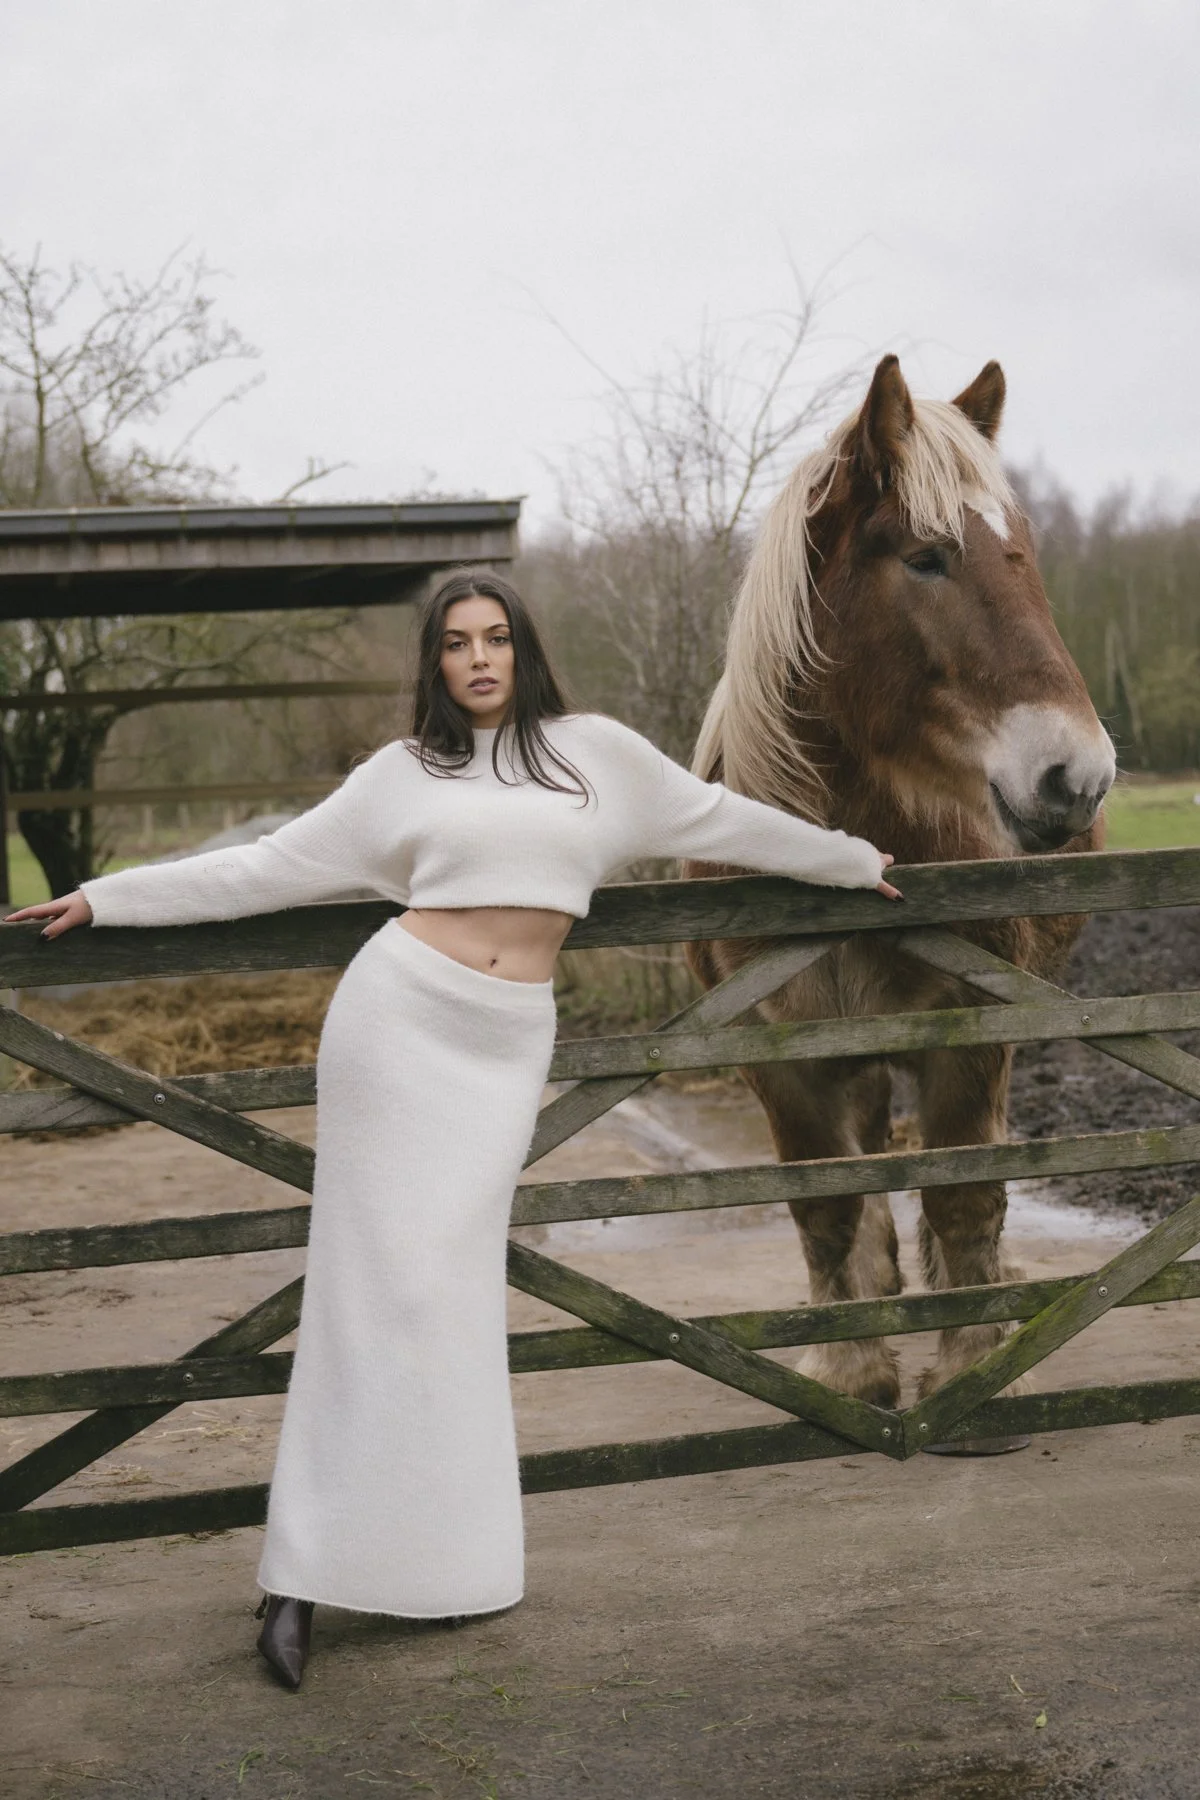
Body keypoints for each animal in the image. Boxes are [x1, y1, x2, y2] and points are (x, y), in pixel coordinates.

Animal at [685, 354, 1115, 1413]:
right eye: (926, 558)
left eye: (1025, 555)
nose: (1077, 777)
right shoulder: (782, 1057)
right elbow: (826, 1206)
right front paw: (852, 1365)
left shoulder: (973, 1033)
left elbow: (963, 1193)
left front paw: (969, 1360)